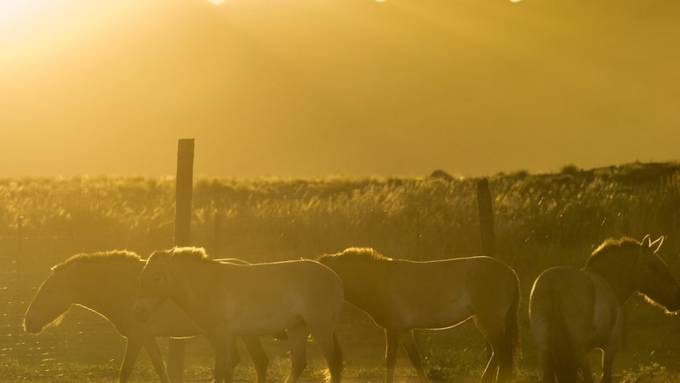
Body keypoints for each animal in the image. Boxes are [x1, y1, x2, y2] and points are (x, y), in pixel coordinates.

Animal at [25, 252, 272, 383]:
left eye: (50, 291)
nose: (28, 322)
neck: (124, 289)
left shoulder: (136, 338)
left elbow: (125, 372)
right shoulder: (148, 338)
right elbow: (160, 368)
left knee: (257, 361)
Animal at [133, 248, 346, 383]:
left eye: (156, 278)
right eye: (141, 277)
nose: (139, 312)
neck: (209, 285)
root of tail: (335, 278)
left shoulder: (222, 334)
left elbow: (221, 369)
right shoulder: (218, 336)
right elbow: (225, 369)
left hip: (320, 327)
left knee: (333, 363)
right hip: (297, 327)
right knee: (299, 363)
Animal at [318, 249, 520, 383]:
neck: (379, 281)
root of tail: (509, 271)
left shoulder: (393, 330)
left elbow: (390, 361)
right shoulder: (405, 331)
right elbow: (416, 361)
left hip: (490, 320)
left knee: (503, 356)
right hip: (484, 321)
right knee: (498, 354)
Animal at [528, 236, 680, 382]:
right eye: (653, 266)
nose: (676, 297)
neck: (608, 281)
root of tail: (553, 286)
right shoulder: (610, 347)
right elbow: (605, 377)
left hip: (545, 350)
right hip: (579, 351)